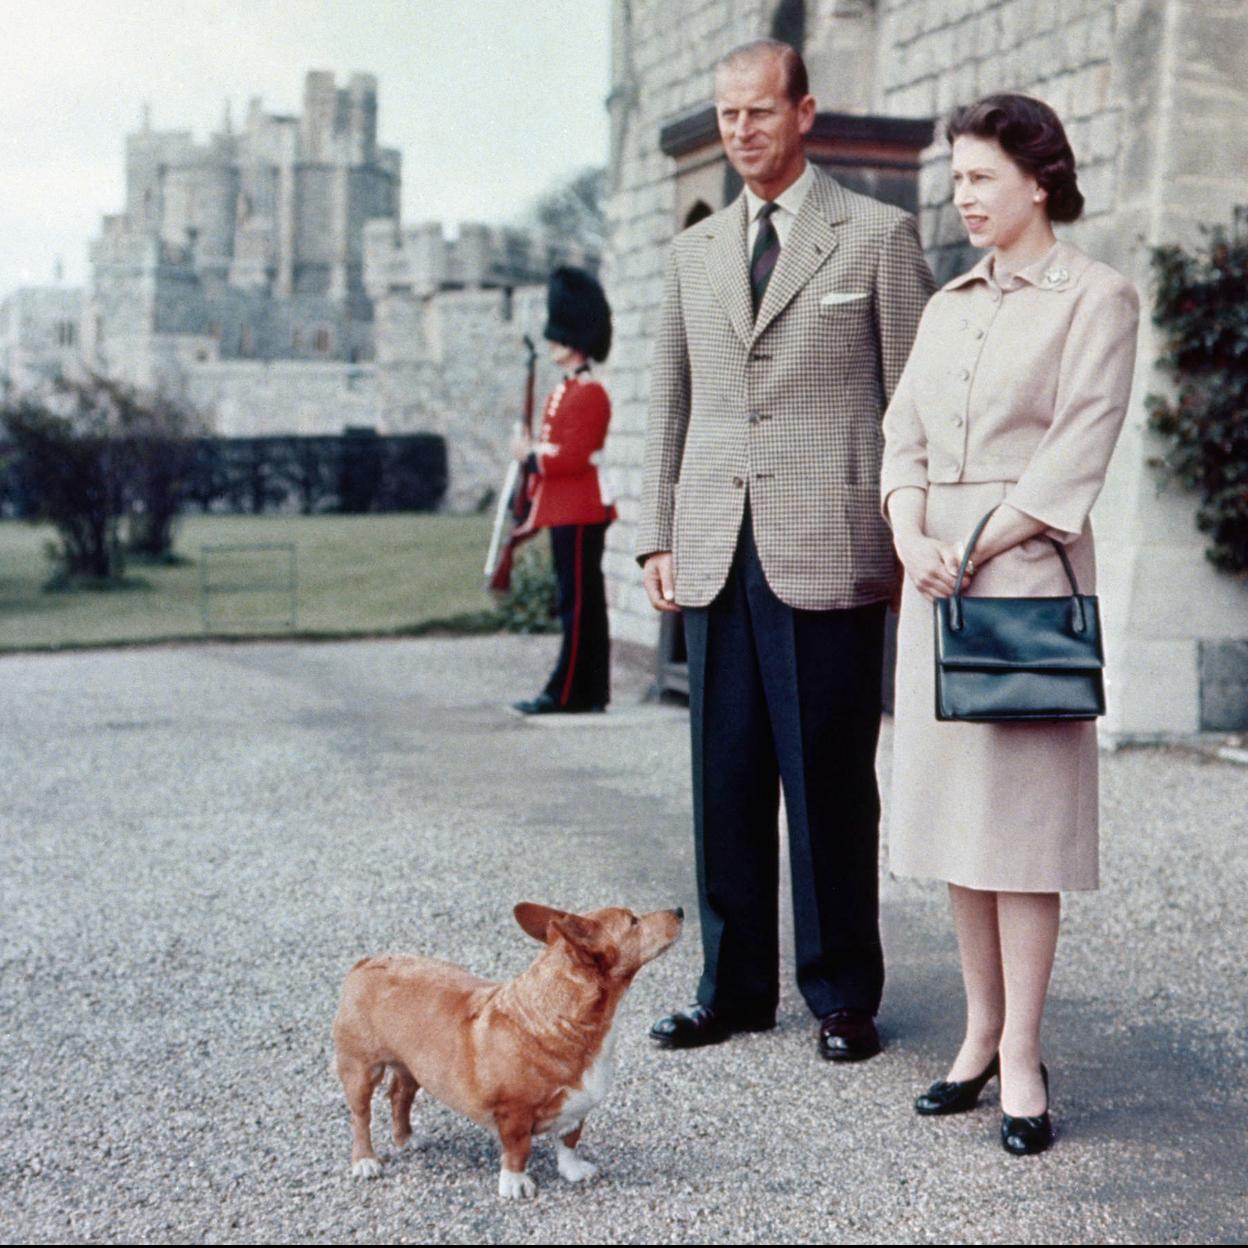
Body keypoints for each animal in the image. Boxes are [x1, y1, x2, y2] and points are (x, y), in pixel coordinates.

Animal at [331, 903, 683, 1193]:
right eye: (633, 921)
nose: (680, 911)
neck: (562, 1018)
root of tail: (366, 962)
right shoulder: (513, 1113)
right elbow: (518, 1149)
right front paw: (515, 1184)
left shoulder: (577, 1109)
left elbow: (569, 1140)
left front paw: (573, 1170)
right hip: (360, 1069)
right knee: (360, 1116)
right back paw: (365, 1161)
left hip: (412, 1068)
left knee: (399, 1097)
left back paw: (406, 1139)